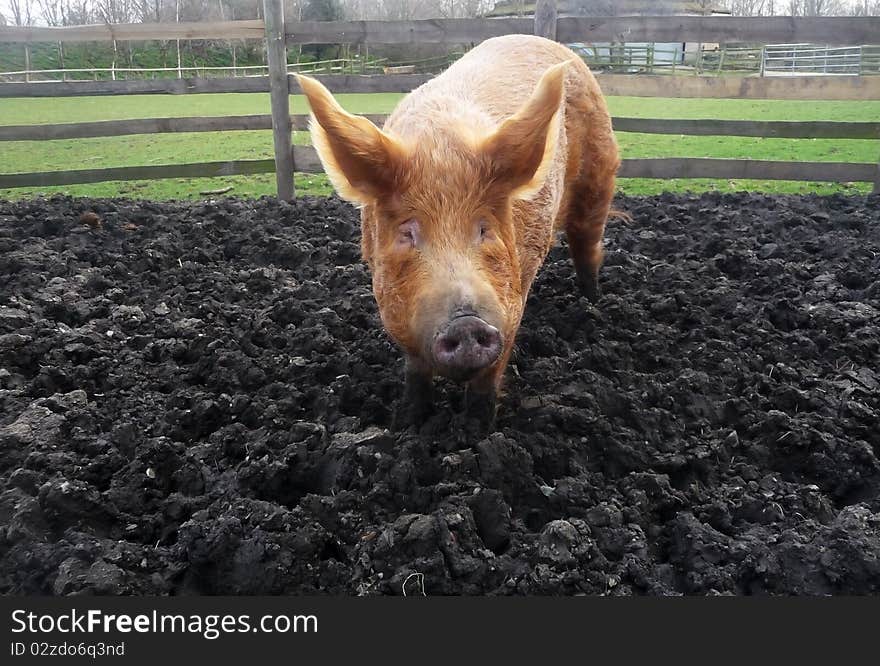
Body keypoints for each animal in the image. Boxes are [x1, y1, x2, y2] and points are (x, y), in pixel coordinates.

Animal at [300, 33, 624, 422]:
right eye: (407, 232)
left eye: (484, 228)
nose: (467, 323)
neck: (440, 147)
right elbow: (415, 370)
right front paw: (410, 421)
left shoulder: (510, 302)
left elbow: (489, 378)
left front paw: (475, 428)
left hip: (598, 177)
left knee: (586, 246)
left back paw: (592, 304)